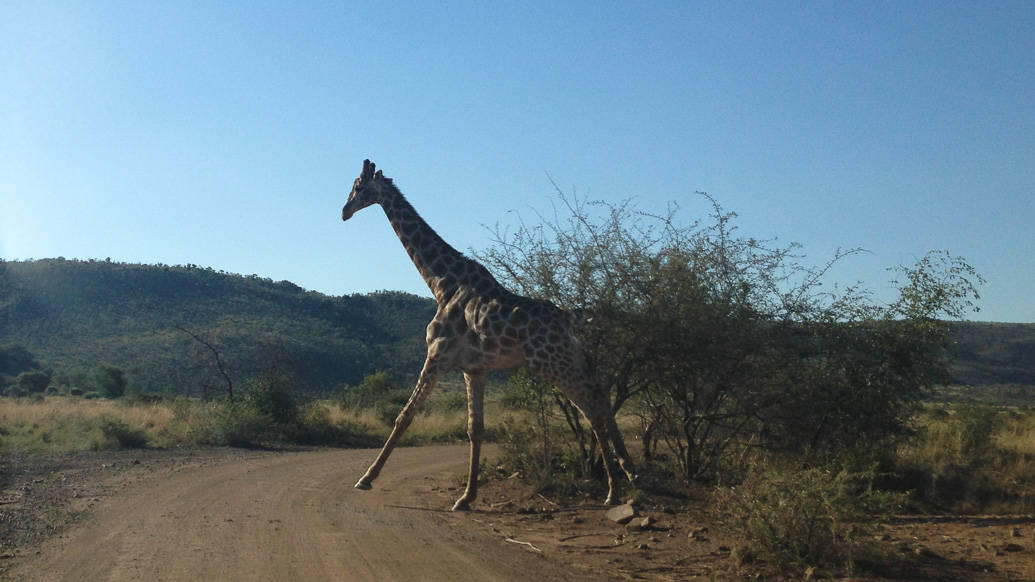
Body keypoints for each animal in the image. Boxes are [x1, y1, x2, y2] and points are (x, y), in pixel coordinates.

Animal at [343, 158, 633, 507]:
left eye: (358, 186)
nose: (344, 211)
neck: (442, 282)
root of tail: (572, 322)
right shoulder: (474, 369)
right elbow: (475, 429)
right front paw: (467, 496)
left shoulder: (437, 355)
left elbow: (405, 415)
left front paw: (366, 478)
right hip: (570, 360)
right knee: (599, 398)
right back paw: (628, 471)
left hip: (553, 364)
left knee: (592, 407)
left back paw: (614, 491)